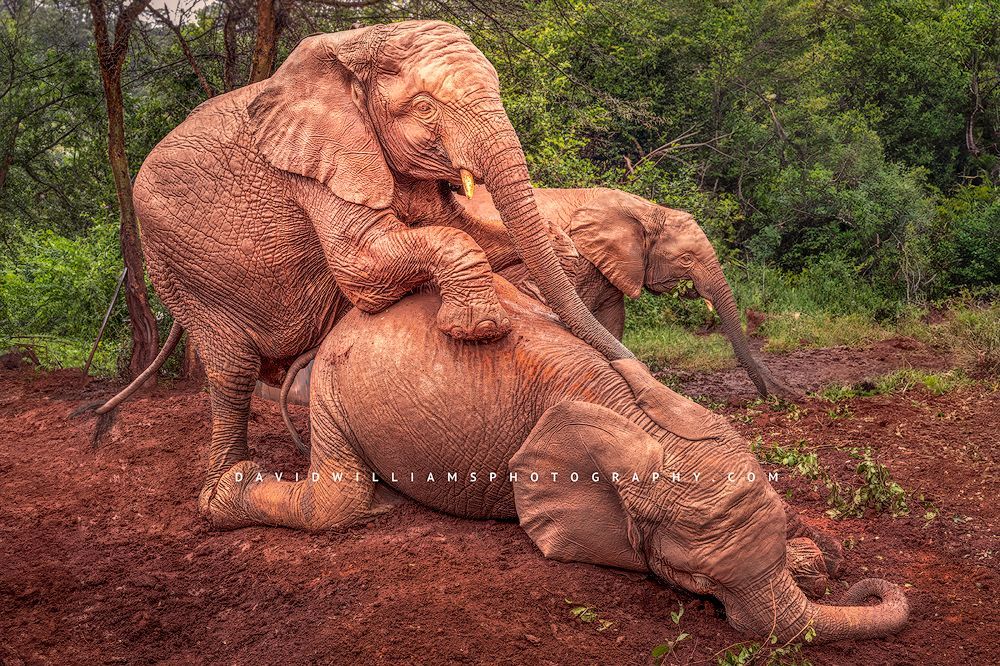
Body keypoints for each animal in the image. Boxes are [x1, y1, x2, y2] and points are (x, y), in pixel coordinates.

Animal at [80, 20, 632, 513]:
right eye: (425, 107)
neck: (358, 45)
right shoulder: (316, 167)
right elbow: (363, 266)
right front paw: (475, 328)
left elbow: (460, 227)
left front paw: (561, 261)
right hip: (179, 267)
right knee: (232, 370)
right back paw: (223, 492)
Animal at [208, 277, 908, 643]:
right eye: (696, 581)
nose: (860, 581)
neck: (630, 415)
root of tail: (336, 329)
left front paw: (814, 559)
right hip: (334, 388)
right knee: (337, 501)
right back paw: (230, 492)